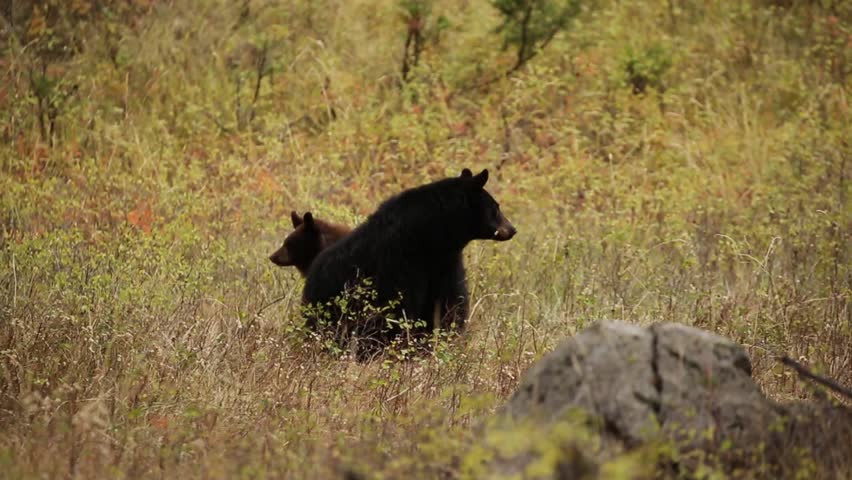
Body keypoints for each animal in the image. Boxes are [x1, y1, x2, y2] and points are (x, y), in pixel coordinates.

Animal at [302, 168, 516, 357]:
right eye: (495, 207)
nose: (513, 229)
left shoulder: (446, 264)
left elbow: (450, 304)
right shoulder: (399, 265)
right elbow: (398, 309)